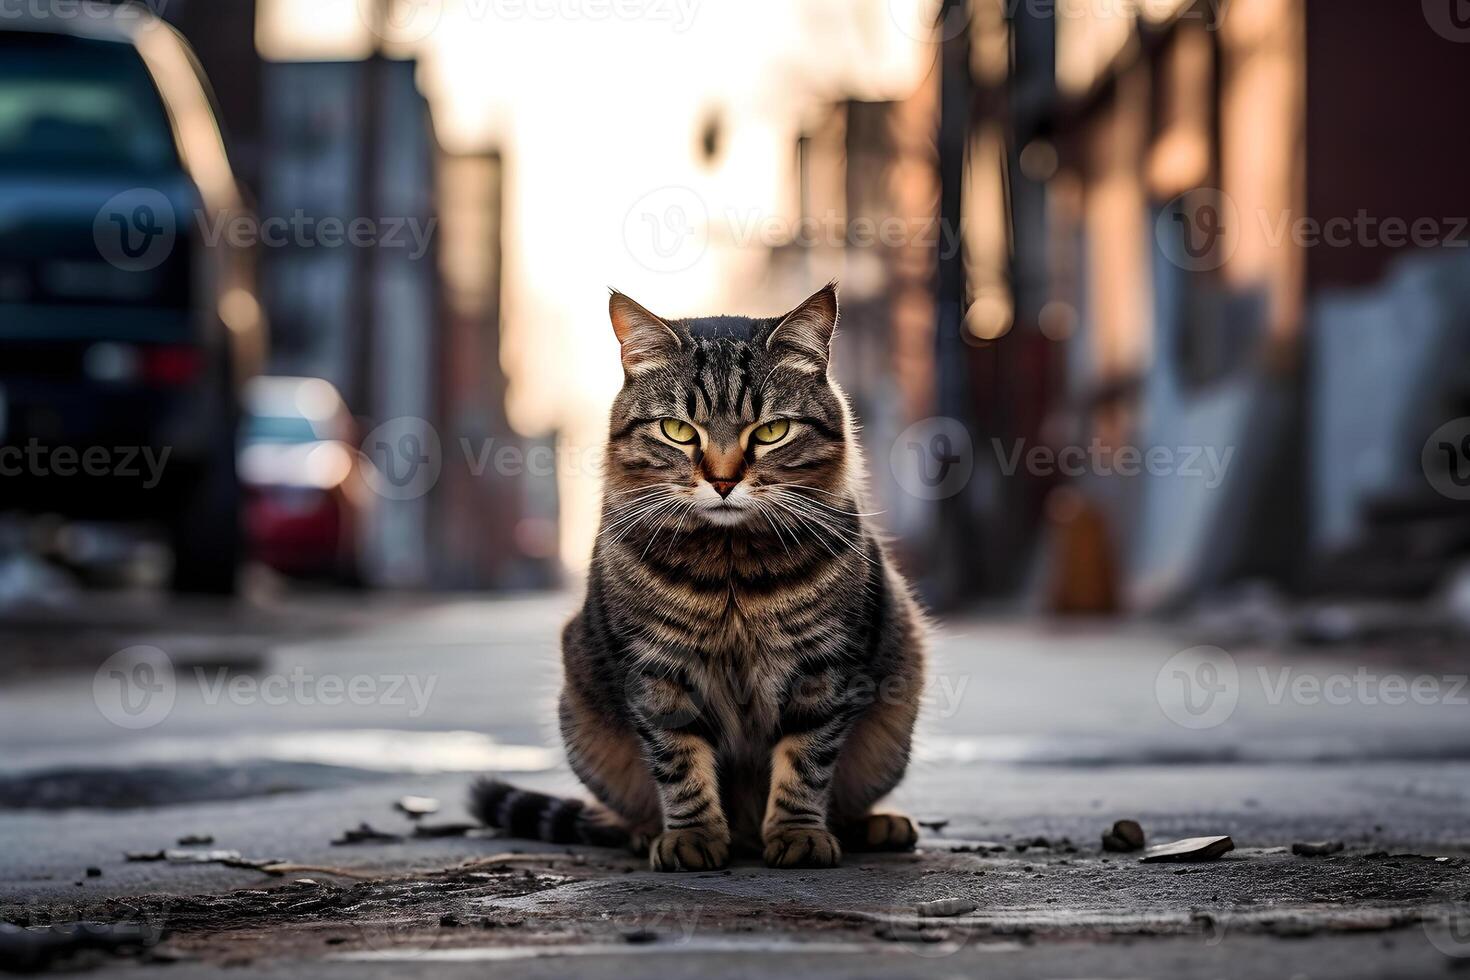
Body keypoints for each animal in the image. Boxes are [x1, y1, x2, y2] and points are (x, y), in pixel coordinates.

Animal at [476, 285, 923, 875]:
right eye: (679, 431)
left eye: (771, 431)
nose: (724, 481)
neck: (730, 568)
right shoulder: (655, 671)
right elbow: (679, 762)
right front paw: (692, 837)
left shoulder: (824, 669)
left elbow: (805, 761)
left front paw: (799, 834)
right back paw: (648, 833)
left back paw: (874, 827)